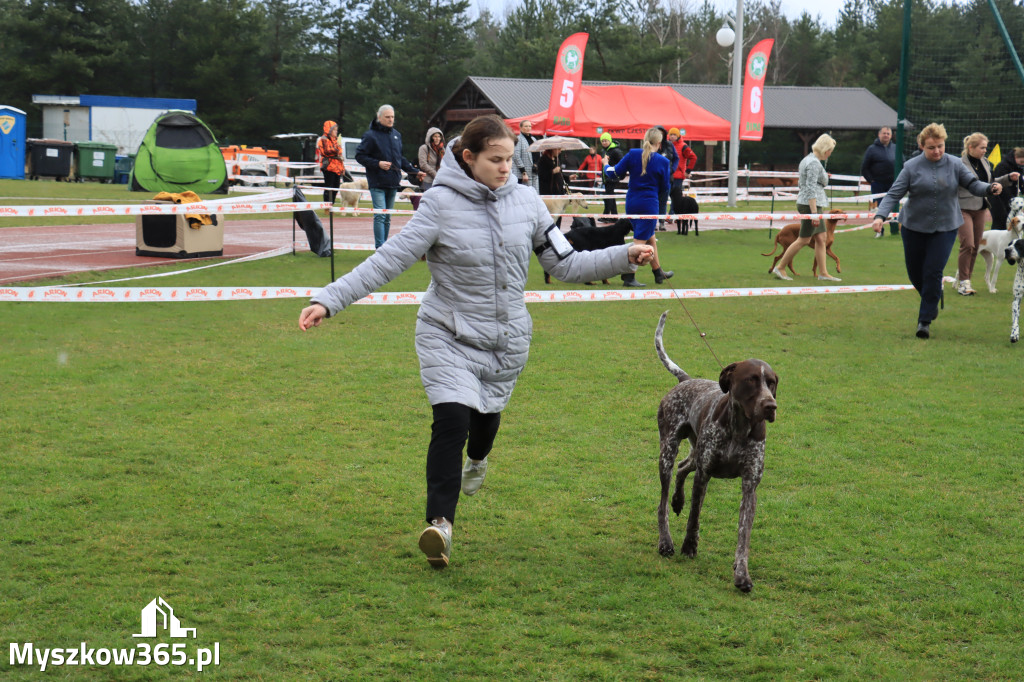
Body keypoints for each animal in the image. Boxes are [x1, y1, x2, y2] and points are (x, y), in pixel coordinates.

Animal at [655, 311, 774, 585]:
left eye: (772, 382)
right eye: (751, 380)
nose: (770, 405)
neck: (739, 429)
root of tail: (686, 380)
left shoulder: (750, 486)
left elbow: (743, 536)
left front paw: (742, 574)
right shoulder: (704, 474)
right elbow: (694, 517)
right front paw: (689, 546)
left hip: (694, 451)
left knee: (682, 467)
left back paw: (678, 500)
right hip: (668, 452)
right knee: (663, 503)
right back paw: (666, 541)